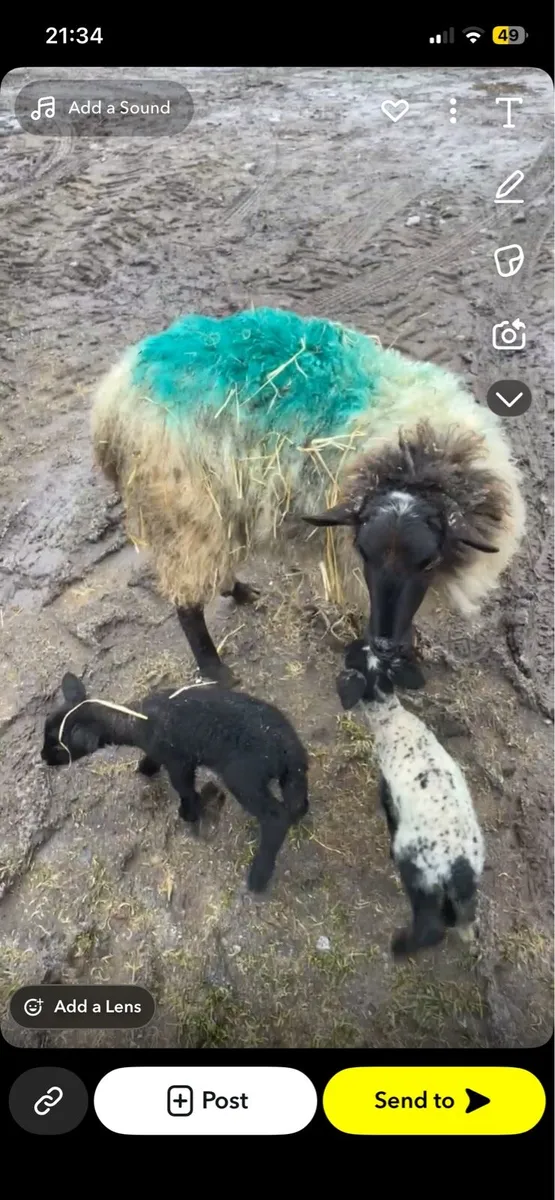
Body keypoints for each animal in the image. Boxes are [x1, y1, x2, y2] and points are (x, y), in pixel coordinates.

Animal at [41, 672, 309, 893]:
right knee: (297, 803)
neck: (135, 720)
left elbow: (185, 790)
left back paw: (258, 877)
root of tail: (286, 747)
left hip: (244, 777)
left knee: (276, 817)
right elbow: (155, 762)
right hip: (291, 776)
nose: (42, 758)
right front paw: (145, 769)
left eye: (59, 747)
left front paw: (189, 814)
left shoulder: (178, 761)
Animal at [91, 307, 525, 685]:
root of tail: (114, 395)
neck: (418, 456)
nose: (384, 645)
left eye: (430, 560)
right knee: (187, 602)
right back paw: (216, 670)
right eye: (364, 553)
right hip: (187, 511)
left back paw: (242, 591)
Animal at [336, 639, 485, 958]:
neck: (390, 719)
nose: (351, 644)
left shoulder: (386, 789)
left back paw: (400, 947)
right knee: (459, 917)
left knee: (430, 927)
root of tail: (458, 865)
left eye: (354, 656)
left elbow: (389, 817)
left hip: (419, 876)